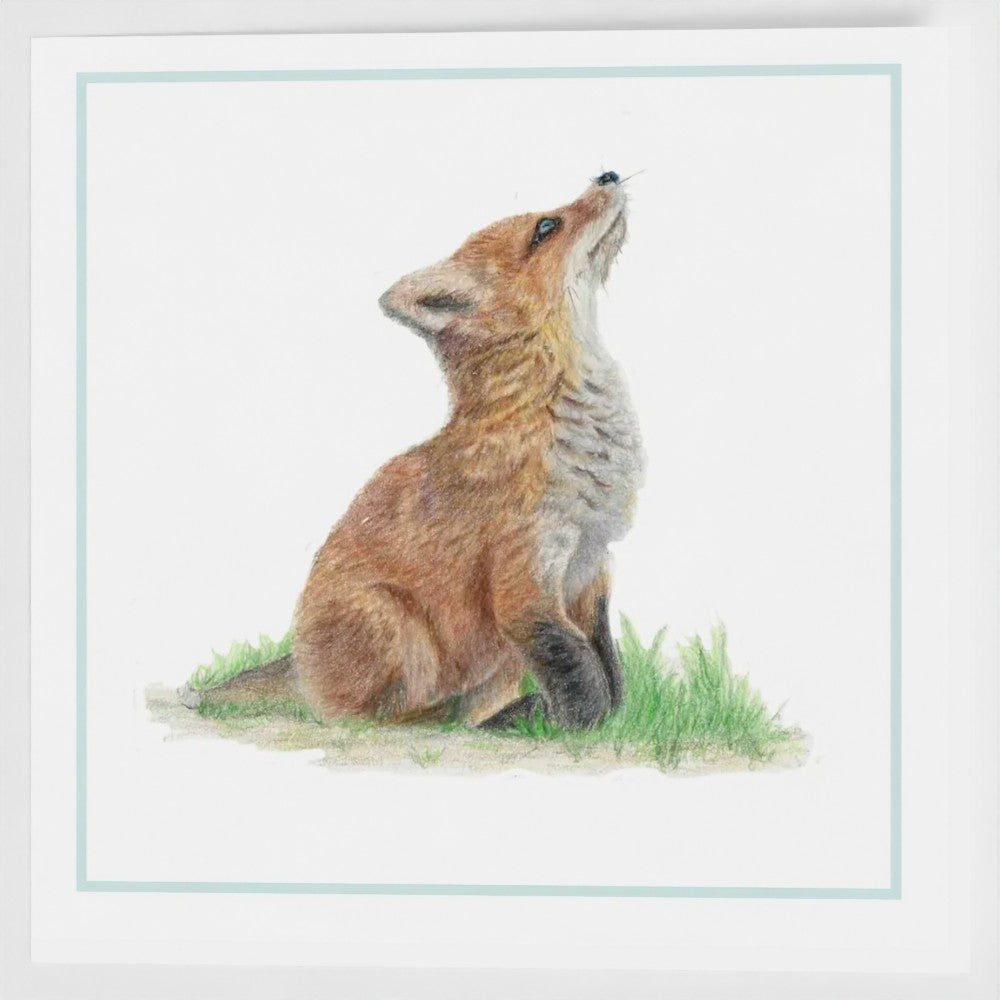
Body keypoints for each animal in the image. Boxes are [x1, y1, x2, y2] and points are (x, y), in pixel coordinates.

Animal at [181, 170, 644, 730]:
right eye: (546, 227)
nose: (608, 174)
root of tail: (299, 669)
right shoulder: (522, 581)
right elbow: (577, 668)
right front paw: (578, 728)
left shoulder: (590, 568)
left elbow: (608, 666)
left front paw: (610, 717)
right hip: (392, 624)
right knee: (373, 718)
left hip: (494, 665)